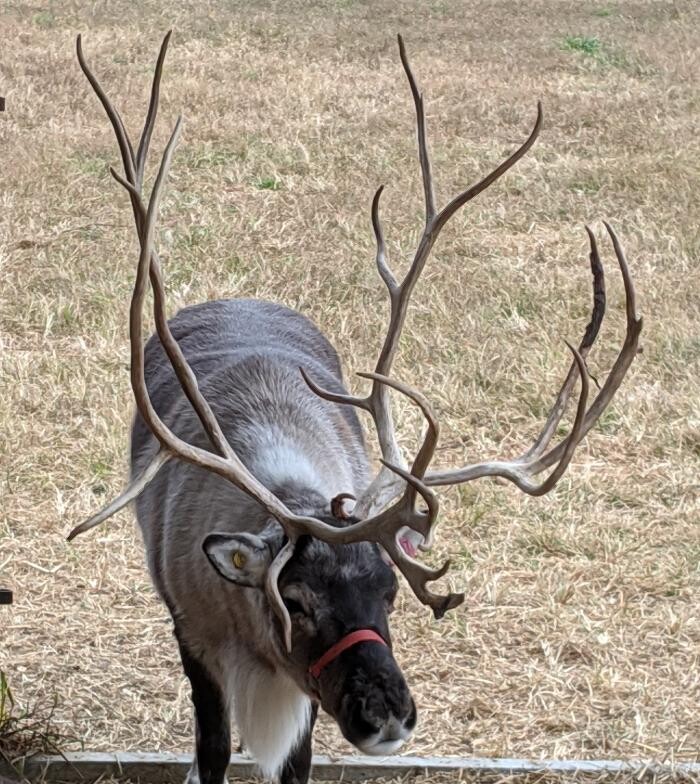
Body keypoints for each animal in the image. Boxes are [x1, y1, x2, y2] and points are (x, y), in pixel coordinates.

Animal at [67, 31, 642, 784]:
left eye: (390, 592)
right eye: (297, 600)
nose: (389, 715)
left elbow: (296, 761)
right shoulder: (192, 633)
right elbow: (212, 748)